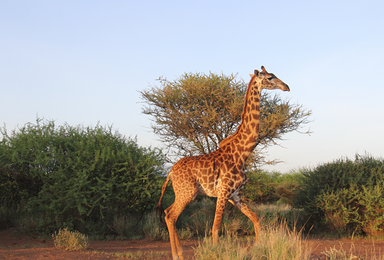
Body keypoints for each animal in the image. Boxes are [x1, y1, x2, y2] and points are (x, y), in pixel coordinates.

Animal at [155, 66, 288, 258]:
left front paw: (259, 248)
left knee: (167, 212)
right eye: (270, 77)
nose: (286, 86)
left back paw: (178, 253)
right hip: (187, 192)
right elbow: (215, 228)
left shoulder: (235, 195)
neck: (242, 153)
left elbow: (256, 219)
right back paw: (176, 255)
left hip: (184, 193)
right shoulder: (223, 192)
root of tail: (171, 171)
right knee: (171, 215)